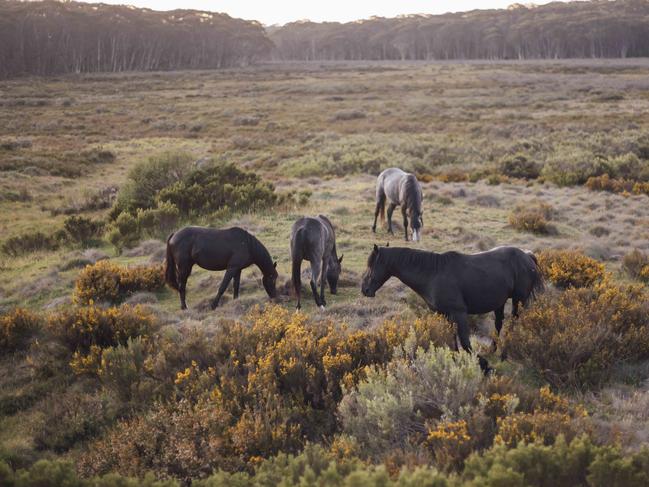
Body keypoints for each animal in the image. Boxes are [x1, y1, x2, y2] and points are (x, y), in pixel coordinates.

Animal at [360, 246, 540, 368]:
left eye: (371, 265)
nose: (365, 290)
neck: (433, 274)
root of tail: (527, 256)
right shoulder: (445, 314)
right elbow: (452, 340)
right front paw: (456, 360)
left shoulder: (459, 313)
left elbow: (465, 341)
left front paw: (483, 365)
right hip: (500, 302)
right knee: (499, 325)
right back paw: (493, 350)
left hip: (518, 300)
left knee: (513, 324)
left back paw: (503, 354)